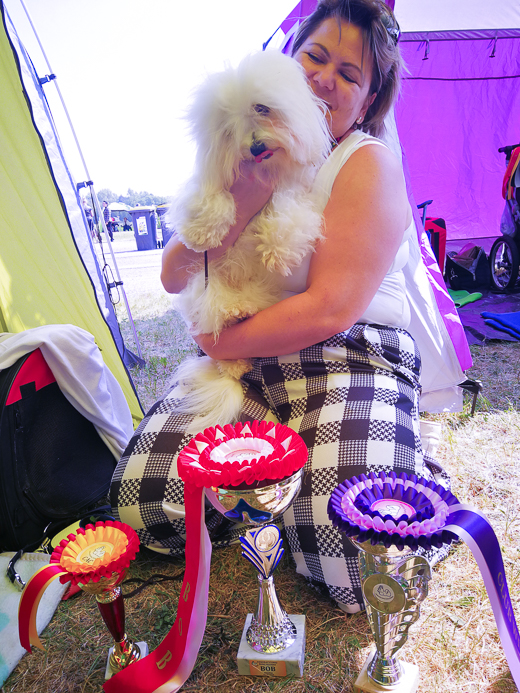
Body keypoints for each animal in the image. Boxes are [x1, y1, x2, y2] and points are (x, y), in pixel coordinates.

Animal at [168, 51, 330, 432]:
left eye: (262, 108)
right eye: (228, 128)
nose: (255, 146)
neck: (264, 171)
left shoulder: (292, 194)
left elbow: (286, 210)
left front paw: (277, 251)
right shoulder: (209, 185)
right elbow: (212, 199)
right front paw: (203, 232)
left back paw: (242, 319)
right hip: (204, 287)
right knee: (217, 328)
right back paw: (233, 320)